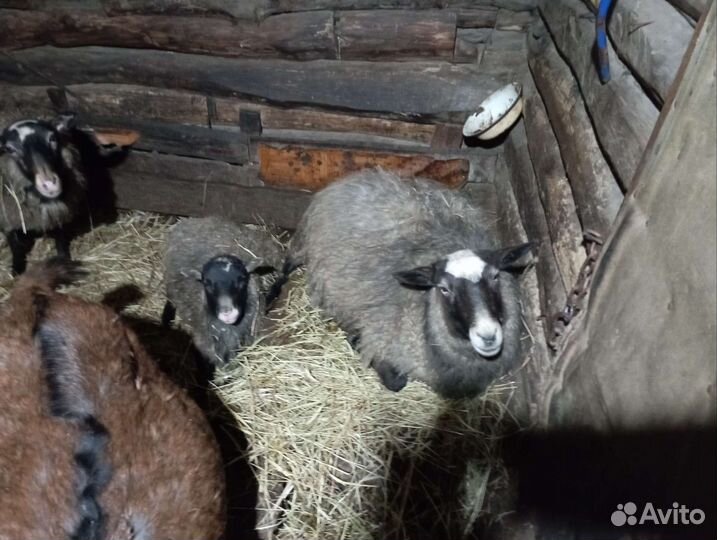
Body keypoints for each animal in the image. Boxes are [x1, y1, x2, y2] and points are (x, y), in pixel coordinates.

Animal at [0, 114, 88, 275]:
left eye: (52, 138)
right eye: (10, 149)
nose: (50, 184)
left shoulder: (59, 210)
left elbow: (60, 236)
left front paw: (64, 260)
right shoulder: (6, 216)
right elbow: (15, 245)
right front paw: (17, 269)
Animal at [290, 170, 534, 399]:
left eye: (495, 276)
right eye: (444, 288)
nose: (488, 335)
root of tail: (351, 178)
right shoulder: (383, 337)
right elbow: (395, 382)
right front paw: (357, 342)